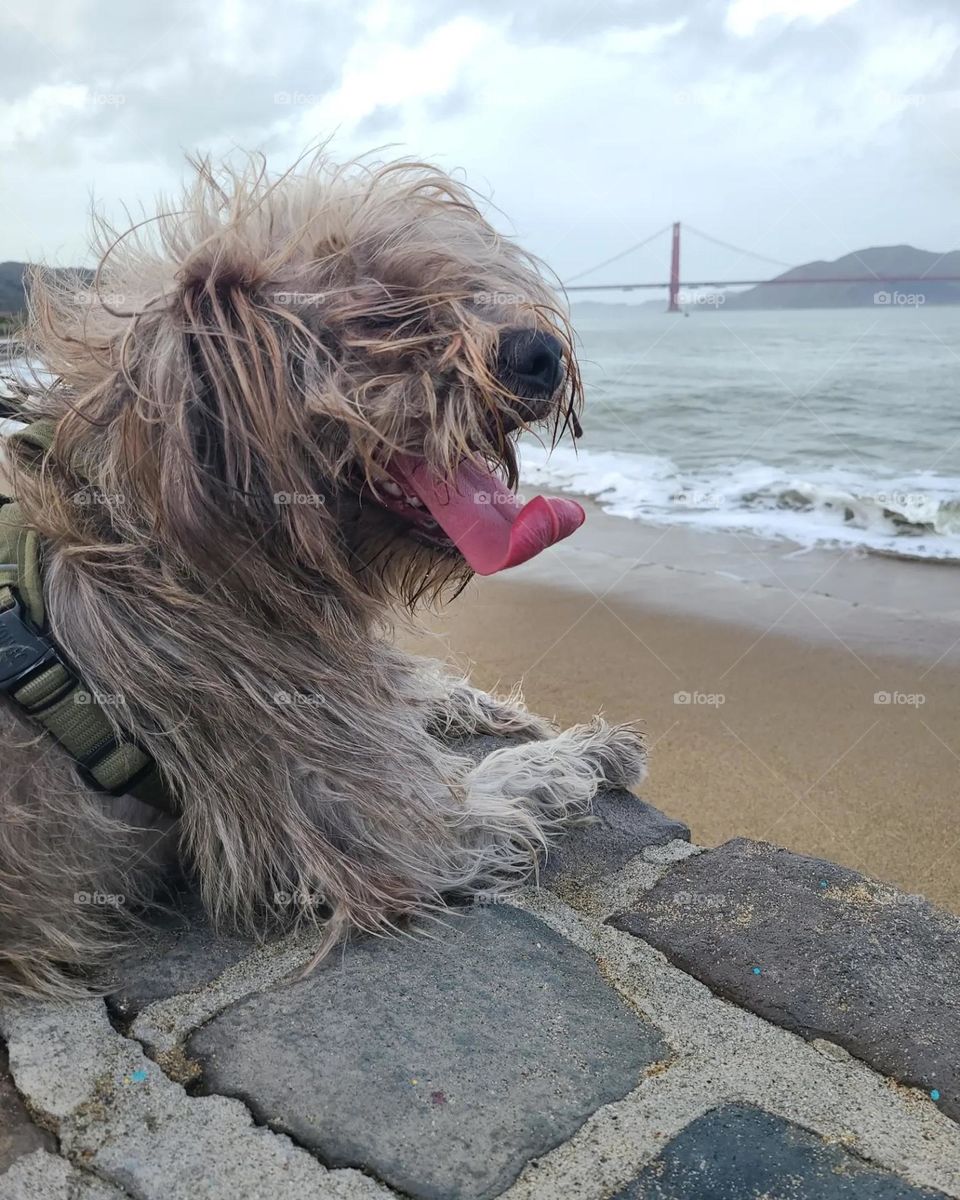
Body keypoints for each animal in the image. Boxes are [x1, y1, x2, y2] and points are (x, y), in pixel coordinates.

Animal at [1, 152, 643, 993]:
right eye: (383, 317)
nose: (541, 353)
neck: (156, 539)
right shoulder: (375, 816)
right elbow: (507, 780)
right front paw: (586, 749)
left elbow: (412, 687)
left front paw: (492, 707)